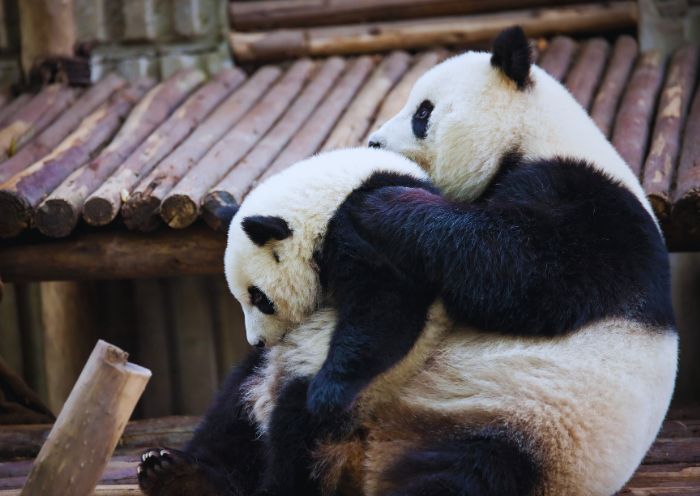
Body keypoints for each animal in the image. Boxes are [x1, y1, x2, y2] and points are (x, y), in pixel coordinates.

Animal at [137, 27, 680, 496]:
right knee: (241, 403)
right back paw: (180, 475)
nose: (374, 141)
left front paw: (380, 204)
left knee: (463, 475)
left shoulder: (595, 209)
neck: (536, 138)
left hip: (531, 427)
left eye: (423, 112)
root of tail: (371, 455)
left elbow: (525, 271)